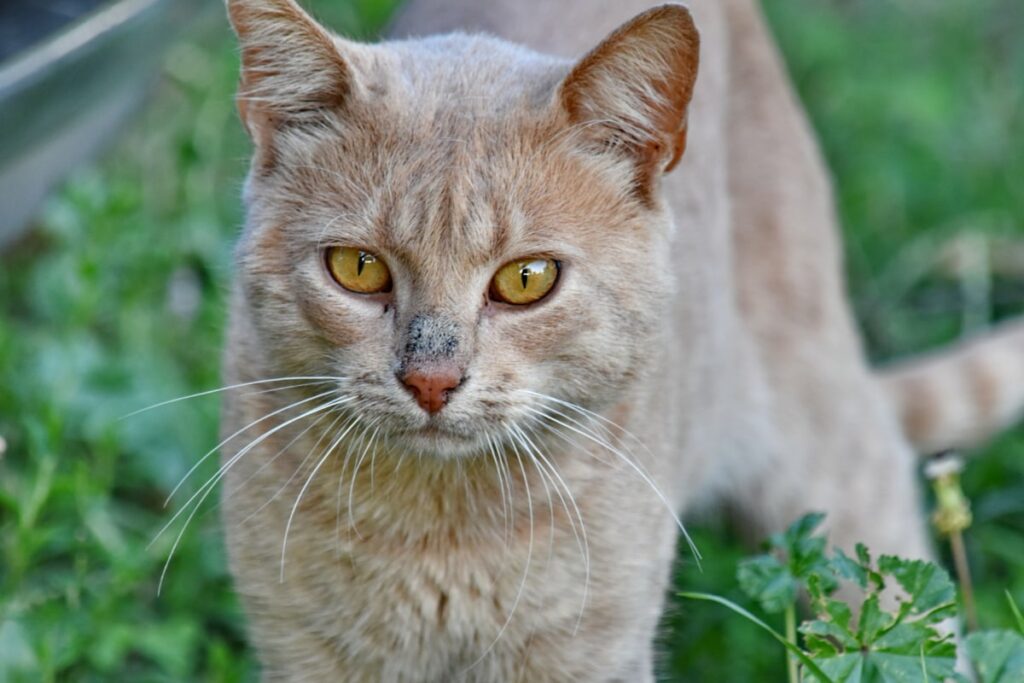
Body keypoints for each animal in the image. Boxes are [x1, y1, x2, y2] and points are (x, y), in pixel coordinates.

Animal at [218, 0, 1024, 679]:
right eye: (359, 268)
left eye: (527, 279)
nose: (431, 381)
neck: (441, 534)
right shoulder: (302, 645)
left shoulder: (592, 648)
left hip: (825, 440)